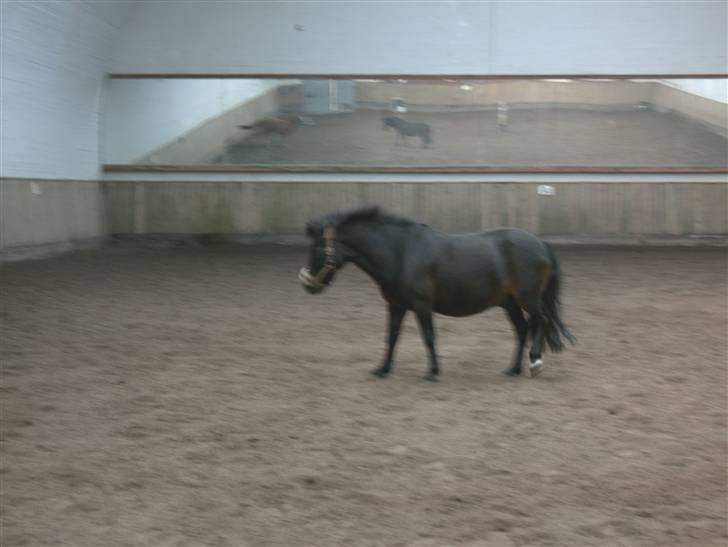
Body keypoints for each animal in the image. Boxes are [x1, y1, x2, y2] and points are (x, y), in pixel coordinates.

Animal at [298, 207, 574, 382]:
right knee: (522, 329)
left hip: (528, 299)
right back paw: (513, 369)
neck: (401, 253)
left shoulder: (422, 305)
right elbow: (392, 337)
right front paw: (382, 369)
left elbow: (429, 337)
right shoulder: (396, 305)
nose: (308, 284)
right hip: (509, 302)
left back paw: (535, 363)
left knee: (541, 321)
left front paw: (432, 372)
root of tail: (540, 244)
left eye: (318, 246)